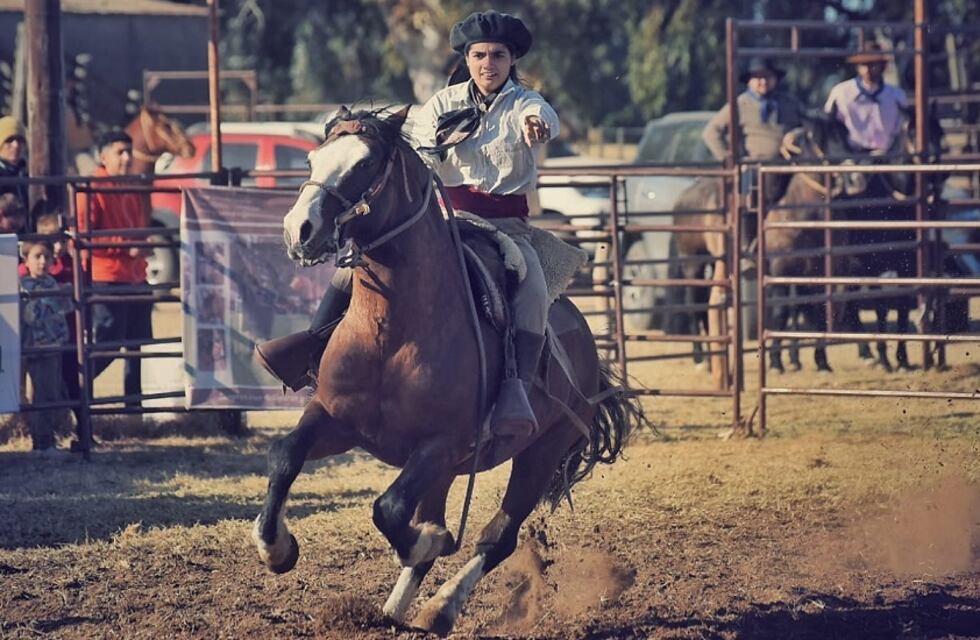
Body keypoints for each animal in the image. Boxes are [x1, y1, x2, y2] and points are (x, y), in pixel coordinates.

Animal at [251, 106, 641, 636]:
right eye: (312, 159)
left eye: (364, 165)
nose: (300, 230)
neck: (392, 330)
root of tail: (583, 339)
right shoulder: (336, 419)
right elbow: (284, 457)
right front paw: (277, 548)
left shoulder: (441, 443)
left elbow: (392, 510)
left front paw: (429, 541)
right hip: (450, 469)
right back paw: (393, 610)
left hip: (538, 452)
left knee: (498, 536)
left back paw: (440, 606)